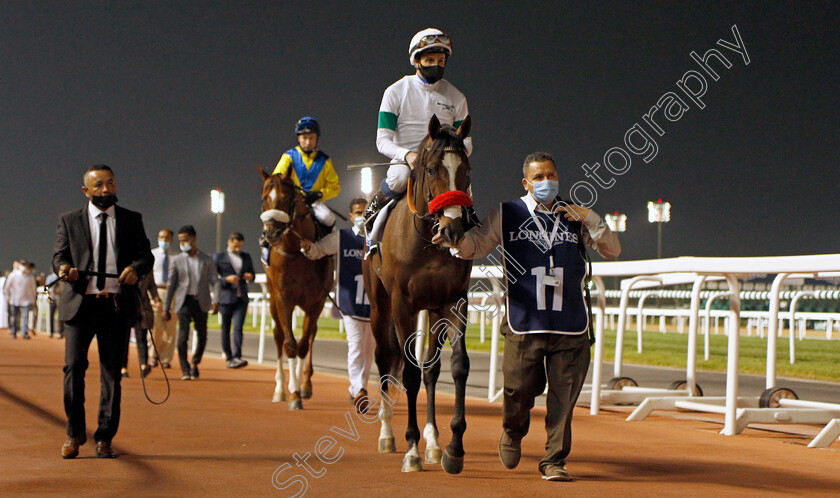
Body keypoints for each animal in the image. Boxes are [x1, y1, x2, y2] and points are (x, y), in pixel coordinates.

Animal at [260, 166, 334, 408]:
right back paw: (279, 389)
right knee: (278, 336)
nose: (270, 233)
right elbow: (290, 344)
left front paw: (301, 389)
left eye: (285, 198)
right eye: (264, 198)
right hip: (272, 299)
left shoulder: (316, 302)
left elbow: (303, 344)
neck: (296, 251)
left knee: (309, 336)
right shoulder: (283, 299)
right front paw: (291, 393)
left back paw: (305, 385)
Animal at [364, 114, 476, 474]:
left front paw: (452, 447)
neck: (429, 242)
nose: (453, 229)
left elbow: (457, 366)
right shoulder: (402, 303)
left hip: (430, 309)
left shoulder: (453, 302)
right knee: (385, 358)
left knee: (431, 369)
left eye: (466, 168)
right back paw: (387, 434)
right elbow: (410, 371)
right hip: (379, 305)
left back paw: (433, 443)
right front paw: (412, 449)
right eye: (430, 169)